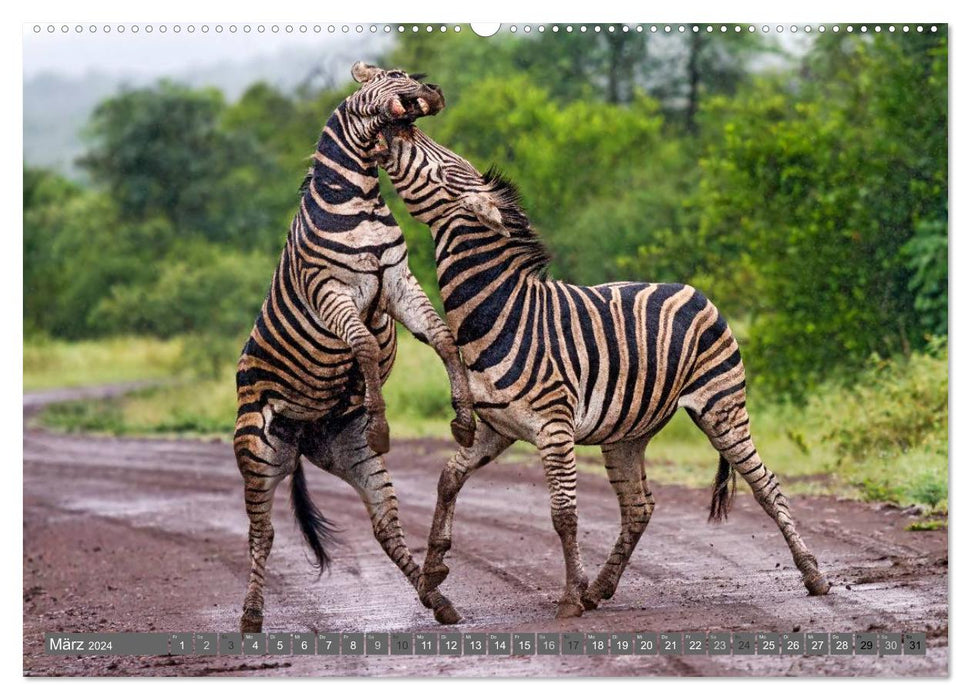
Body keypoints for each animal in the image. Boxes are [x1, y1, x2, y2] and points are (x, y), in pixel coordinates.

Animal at [236, 64, 478, 636]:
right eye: (395, 76)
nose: (433, 91)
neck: (359, 198)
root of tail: (302, 436)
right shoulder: (331, 291)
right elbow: (364, 344)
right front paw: (382, 420)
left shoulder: (396, 280)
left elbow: (441, 338)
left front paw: (463, 418)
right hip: (257, 453)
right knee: (262, 534)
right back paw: (251, 618)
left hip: (348, 452)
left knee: (385, 526)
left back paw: (437, 599)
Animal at [376, 123, 832, 620]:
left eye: (443, 168)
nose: (398, 129)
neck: (499, 314)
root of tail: (695, 290)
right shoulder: (496, 428)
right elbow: (448, 479)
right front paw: (434, 570)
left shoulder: (554, 427)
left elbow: (564, 513)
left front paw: (569, 599)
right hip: (626, 433)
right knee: (638, 507)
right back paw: (601, 588)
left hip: (721, 405)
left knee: (765, 483)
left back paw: (813, 575)